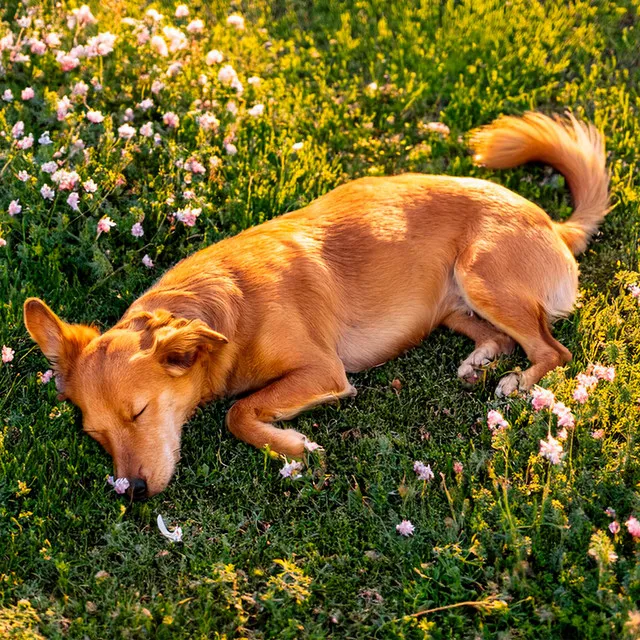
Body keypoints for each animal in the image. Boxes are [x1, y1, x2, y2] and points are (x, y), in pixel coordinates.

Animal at [22, 112, 608, 498]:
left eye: (139, 412)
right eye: (96, 437)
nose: (133, 493)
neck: (229, 309)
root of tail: (554, 224)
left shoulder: (322, 371)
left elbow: (238, 411)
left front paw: (294, 446)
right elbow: (239, 406)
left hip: (482, 275)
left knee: (551, 350)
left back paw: (517, 382)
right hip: (453, 306)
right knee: (503, 337)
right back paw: (477, 363)